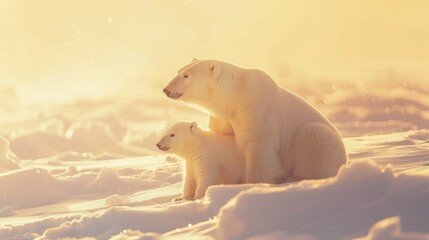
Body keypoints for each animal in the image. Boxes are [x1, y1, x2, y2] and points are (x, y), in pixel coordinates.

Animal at [162, 59, 346, 183]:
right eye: (179, 71)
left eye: (186, 75)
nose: (166, 89)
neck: (236, 97)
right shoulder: (224, 116)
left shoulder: (256, 110)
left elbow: (258, 147)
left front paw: (254, 183)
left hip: (322, 140)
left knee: (314, 136)